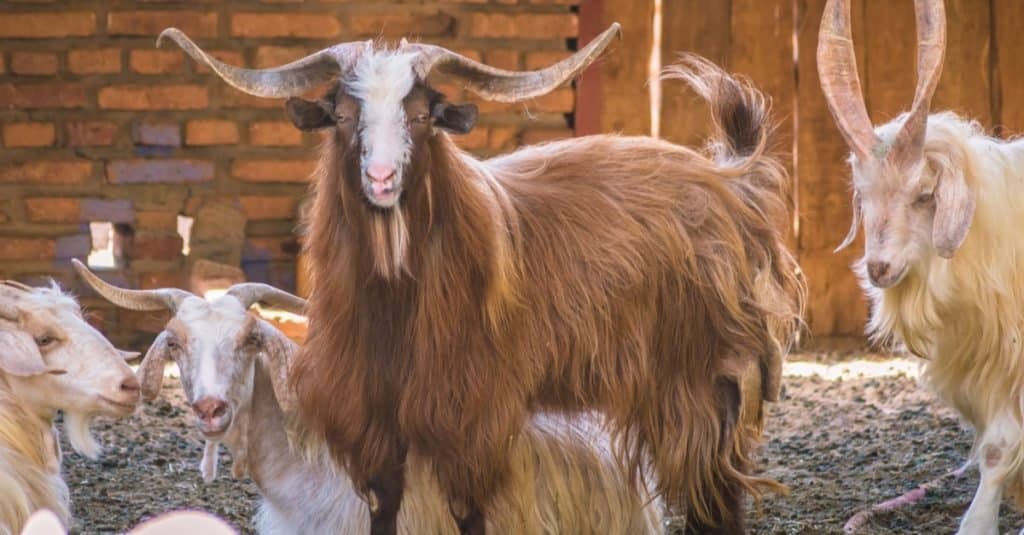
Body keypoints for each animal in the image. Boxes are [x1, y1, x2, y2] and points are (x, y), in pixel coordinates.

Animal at [163, 23, 802, 532]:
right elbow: (384, 510)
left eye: (422, 116)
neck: (398, 305)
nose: (381, 177)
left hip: (702, 381)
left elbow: (471, 514)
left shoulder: (470, 417)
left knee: (714, 494)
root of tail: (730, 180)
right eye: (344, 117)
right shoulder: (373, 420)